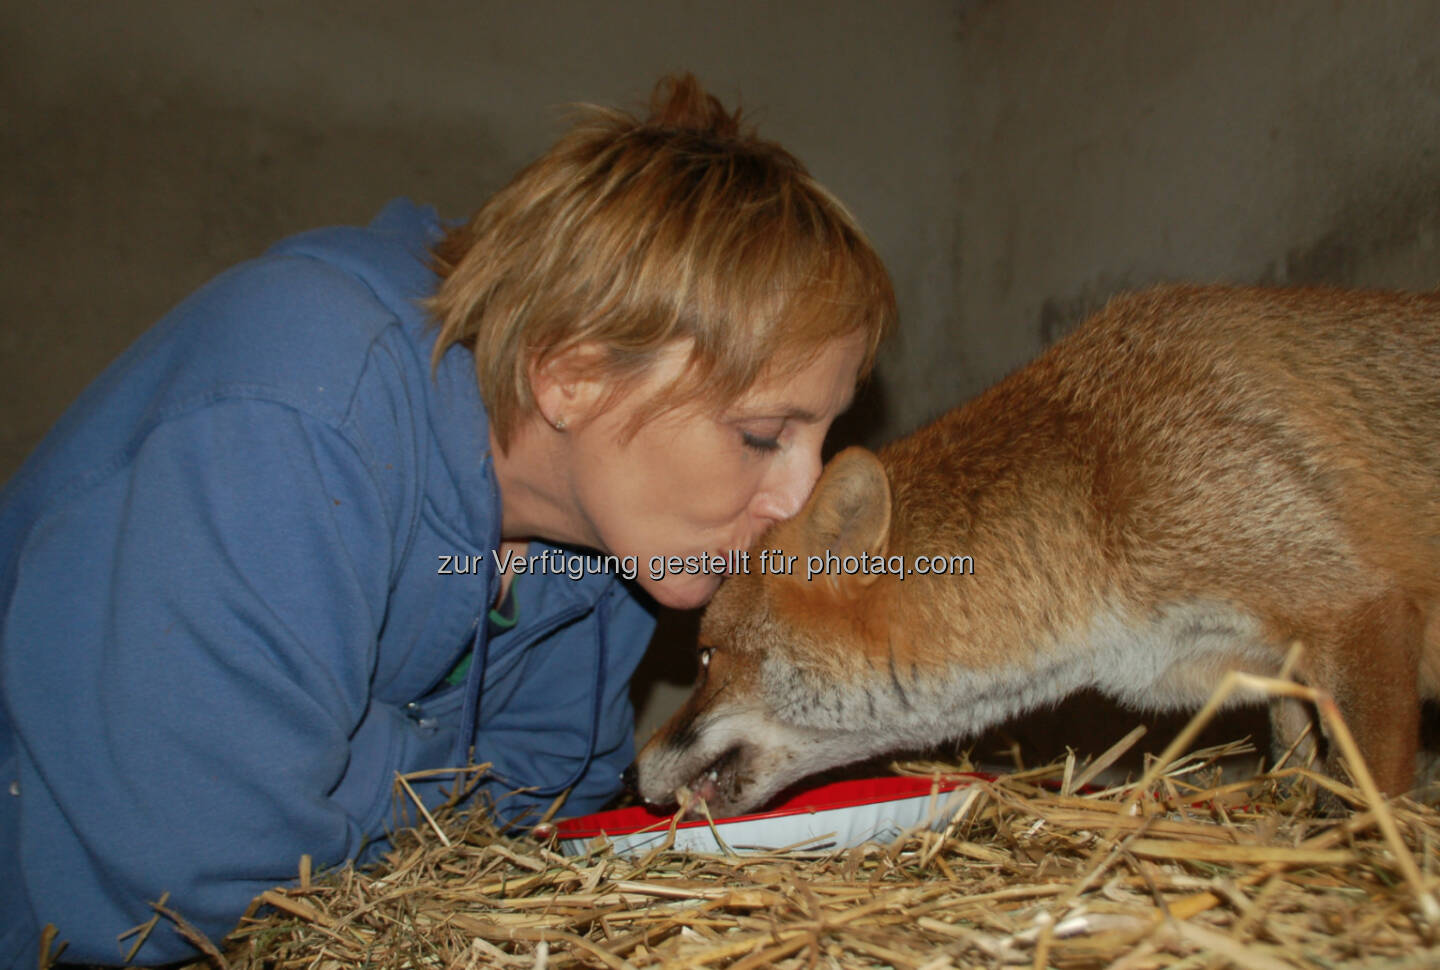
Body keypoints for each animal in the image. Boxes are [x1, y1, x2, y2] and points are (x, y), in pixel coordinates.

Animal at [636, 283, 1440, 811]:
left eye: (705, 659)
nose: (626, 773)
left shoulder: (1354, 607)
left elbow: (1366, 792)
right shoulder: (1266, 669)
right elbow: (1298, 759)